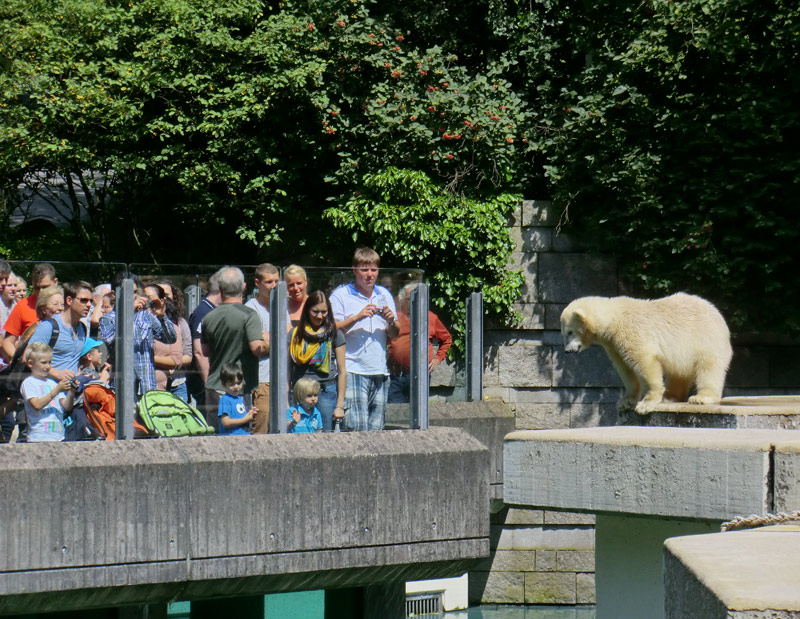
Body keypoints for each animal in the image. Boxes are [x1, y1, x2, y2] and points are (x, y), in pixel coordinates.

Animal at [560, 296, 736, 416]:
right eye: (564, 333)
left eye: (570, 332)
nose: (567, 351)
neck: (614, 319)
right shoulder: (613, 345)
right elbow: (625, 369)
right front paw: (625, 402)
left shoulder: (632, 332)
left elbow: (644, 361)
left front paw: (646, 404)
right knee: (679, 374)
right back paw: (670, 397)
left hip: (705, 340)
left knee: (709, 368)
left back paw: (701, 397)